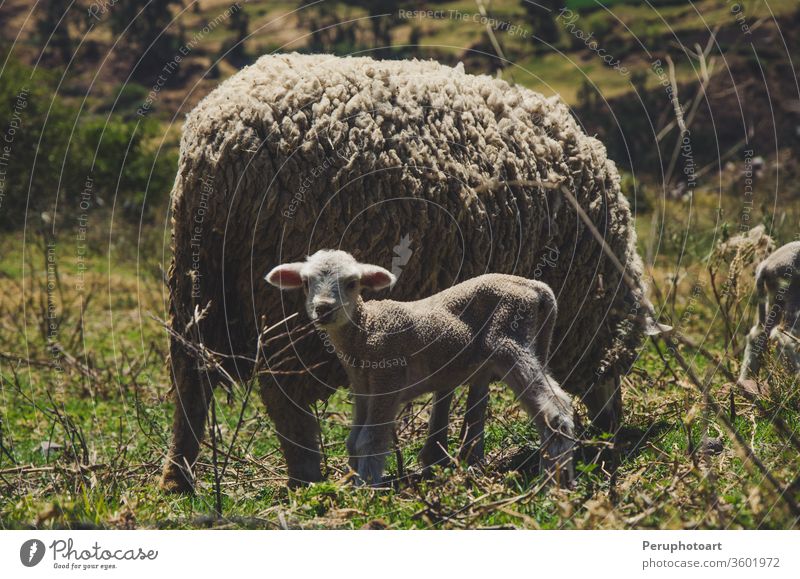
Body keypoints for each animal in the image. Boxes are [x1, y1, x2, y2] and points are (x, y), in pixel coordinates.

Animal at [268, 251, 576, 488]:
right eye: (306, 282)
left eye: (352, 283)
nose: (323, 309)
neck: (366, 330)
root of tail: (536, 288)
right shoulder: (363, 388)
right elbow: (353, 440)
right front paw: (351, 481)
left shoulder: (387, 379)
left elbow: (370, 439)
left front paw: (365, 488)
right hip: (531, 341)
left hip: (510, 337)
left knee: (555, 408)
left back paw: (552, 485)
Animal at [736, 242, 800, 382]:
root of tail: (765, 265)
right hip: (792, 292)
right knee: (781, 334)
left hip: (775, 300)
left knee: (758, 335)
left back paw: (745, 381)